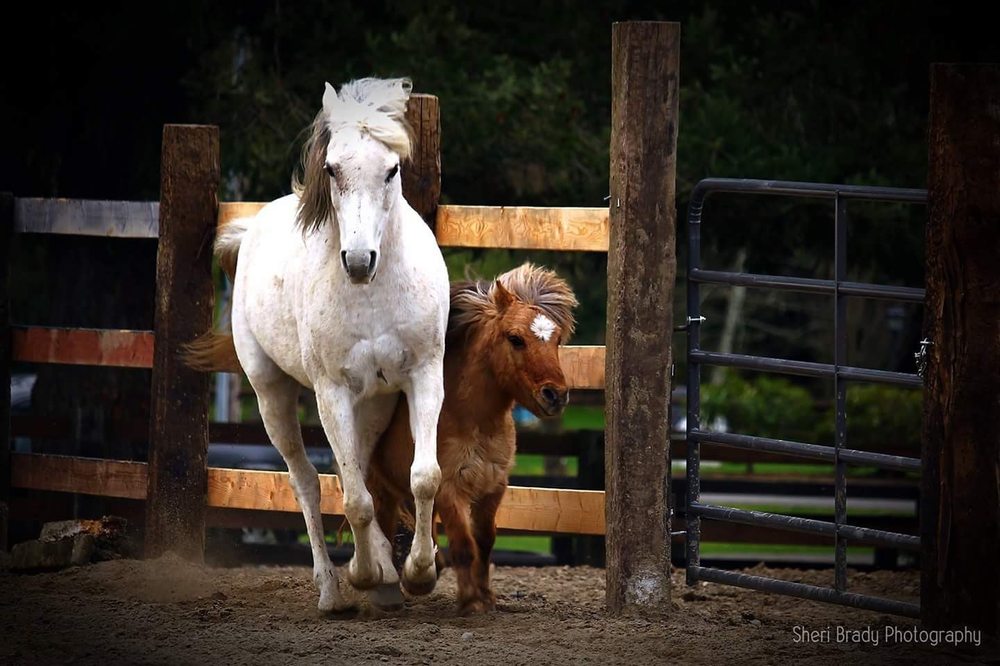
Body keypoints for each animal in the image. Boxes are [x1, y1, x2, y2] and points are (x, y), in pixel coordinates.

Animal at [185, 77, 450, 613]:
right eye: (331, 168)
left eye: (392, 169)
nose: (359, 261)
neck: (373, 294)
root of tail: (252, 227)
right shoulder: (331, 393)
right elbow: (353, 499)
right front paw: (365, 574)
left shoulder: (423, 377)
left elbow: (422, 477)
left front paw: (418, 573)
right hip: (272, 394)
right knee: (306, 481)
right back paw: (333, 587)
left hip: (374, 402)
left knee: (358, 472)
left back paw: (385, 576)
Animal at [367, 262, 578, 614]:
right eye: (515, 339)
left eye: (557, 339)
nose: (555, 395)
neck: (473, 420)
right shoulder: (450, 490)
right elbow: (464, 544)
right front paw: (470, 601)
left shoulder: (493, 487)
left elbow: (485, 541)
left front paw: (486, 595)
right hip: (380, 487)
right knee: (383, 525)